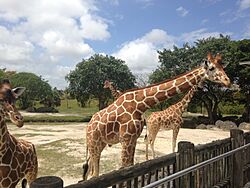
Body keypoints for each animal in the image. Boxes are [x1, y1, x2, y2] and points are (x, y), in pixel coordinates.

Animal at [83, 53, 231, 179]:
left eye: (222, 67)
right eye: (211, 68)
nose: (228, 81)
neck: (140, 105)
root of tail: (88, 126)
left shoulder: (133, 139)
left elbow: (130, 167)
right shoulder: (126, 139)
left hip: (100, 144)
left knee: (91, 169)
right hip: (94, 143)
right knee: (93, 173)